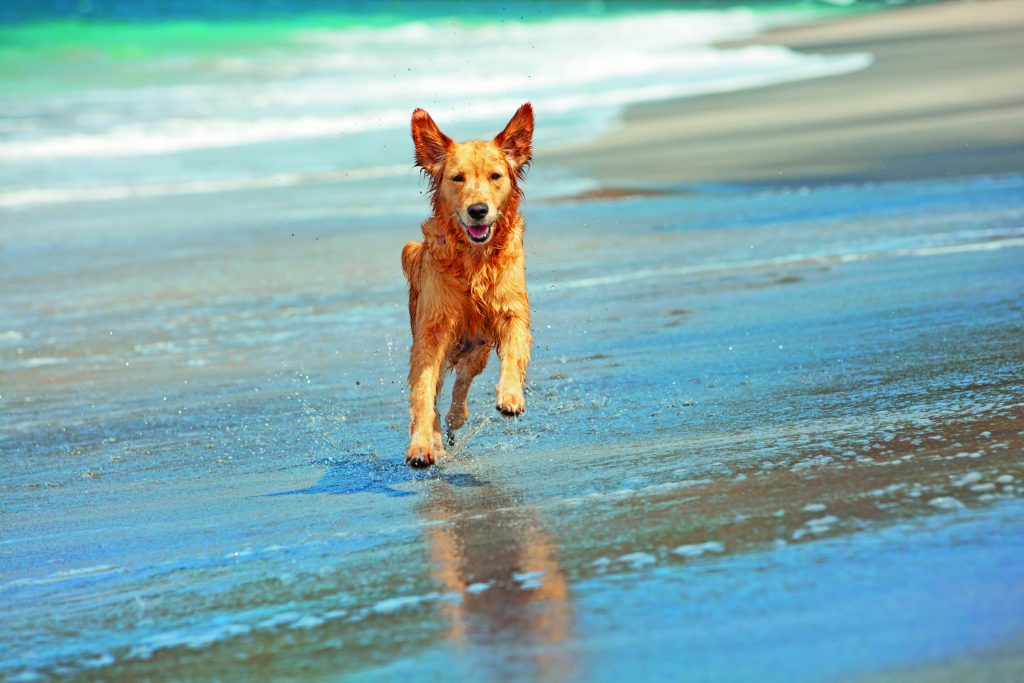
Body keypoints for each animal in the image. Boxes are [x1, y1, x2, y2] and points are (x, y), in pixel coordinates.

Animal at [401, 102, 536, 471]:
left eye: (495, 176)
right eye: (457, 178)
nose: (478, 210)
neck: (473, 261)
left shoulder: (510, 311)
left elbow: (514, 353)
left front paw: (510, 397)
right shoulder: (432, 330)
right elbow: (423, 391)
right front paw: (421, 445)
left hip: (478, 350)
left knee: (462, 382)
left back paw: (456, 418)